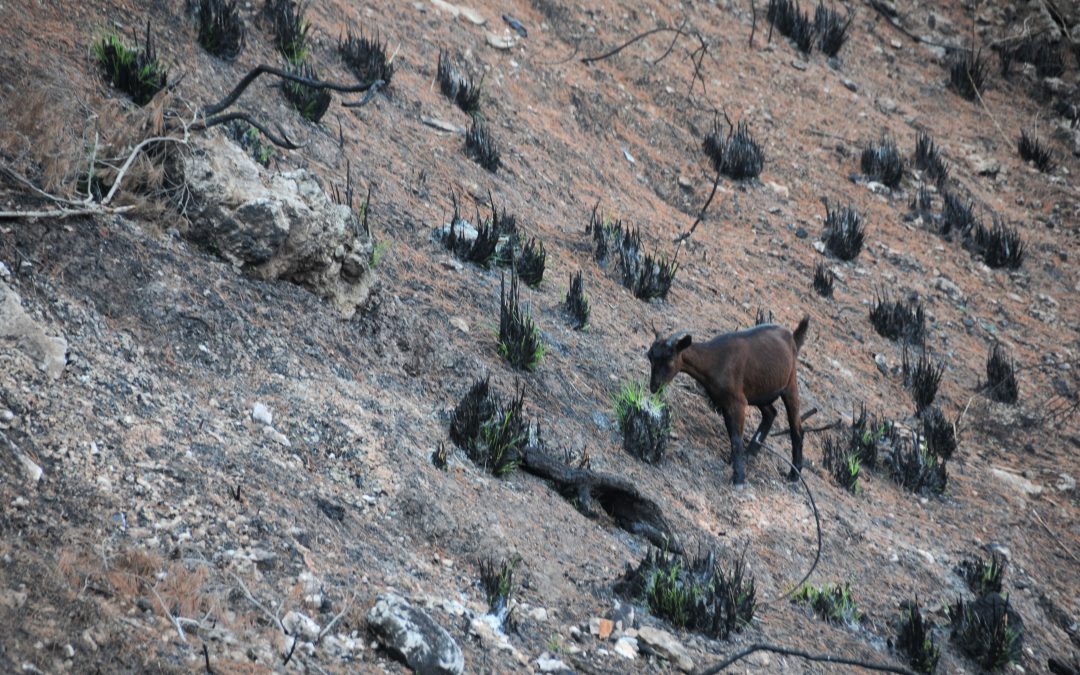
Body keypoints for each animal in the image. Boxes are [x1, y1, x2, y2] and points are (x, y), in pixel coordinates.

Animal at [646, 316, 810, 486]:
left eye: (670, 358)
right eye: (650, 356)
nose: (654, 386)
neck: (715, 361)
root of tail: (792, 337)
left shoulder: (737, 402)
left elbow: (737, 439)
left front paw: (739, 479)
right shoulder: (725, 402)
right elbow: (732, 435)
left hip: (790, 384)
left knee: (797, 428)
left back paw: (794, 474)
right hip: (761, 391)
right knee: (771, 413)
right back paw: (750, 453)